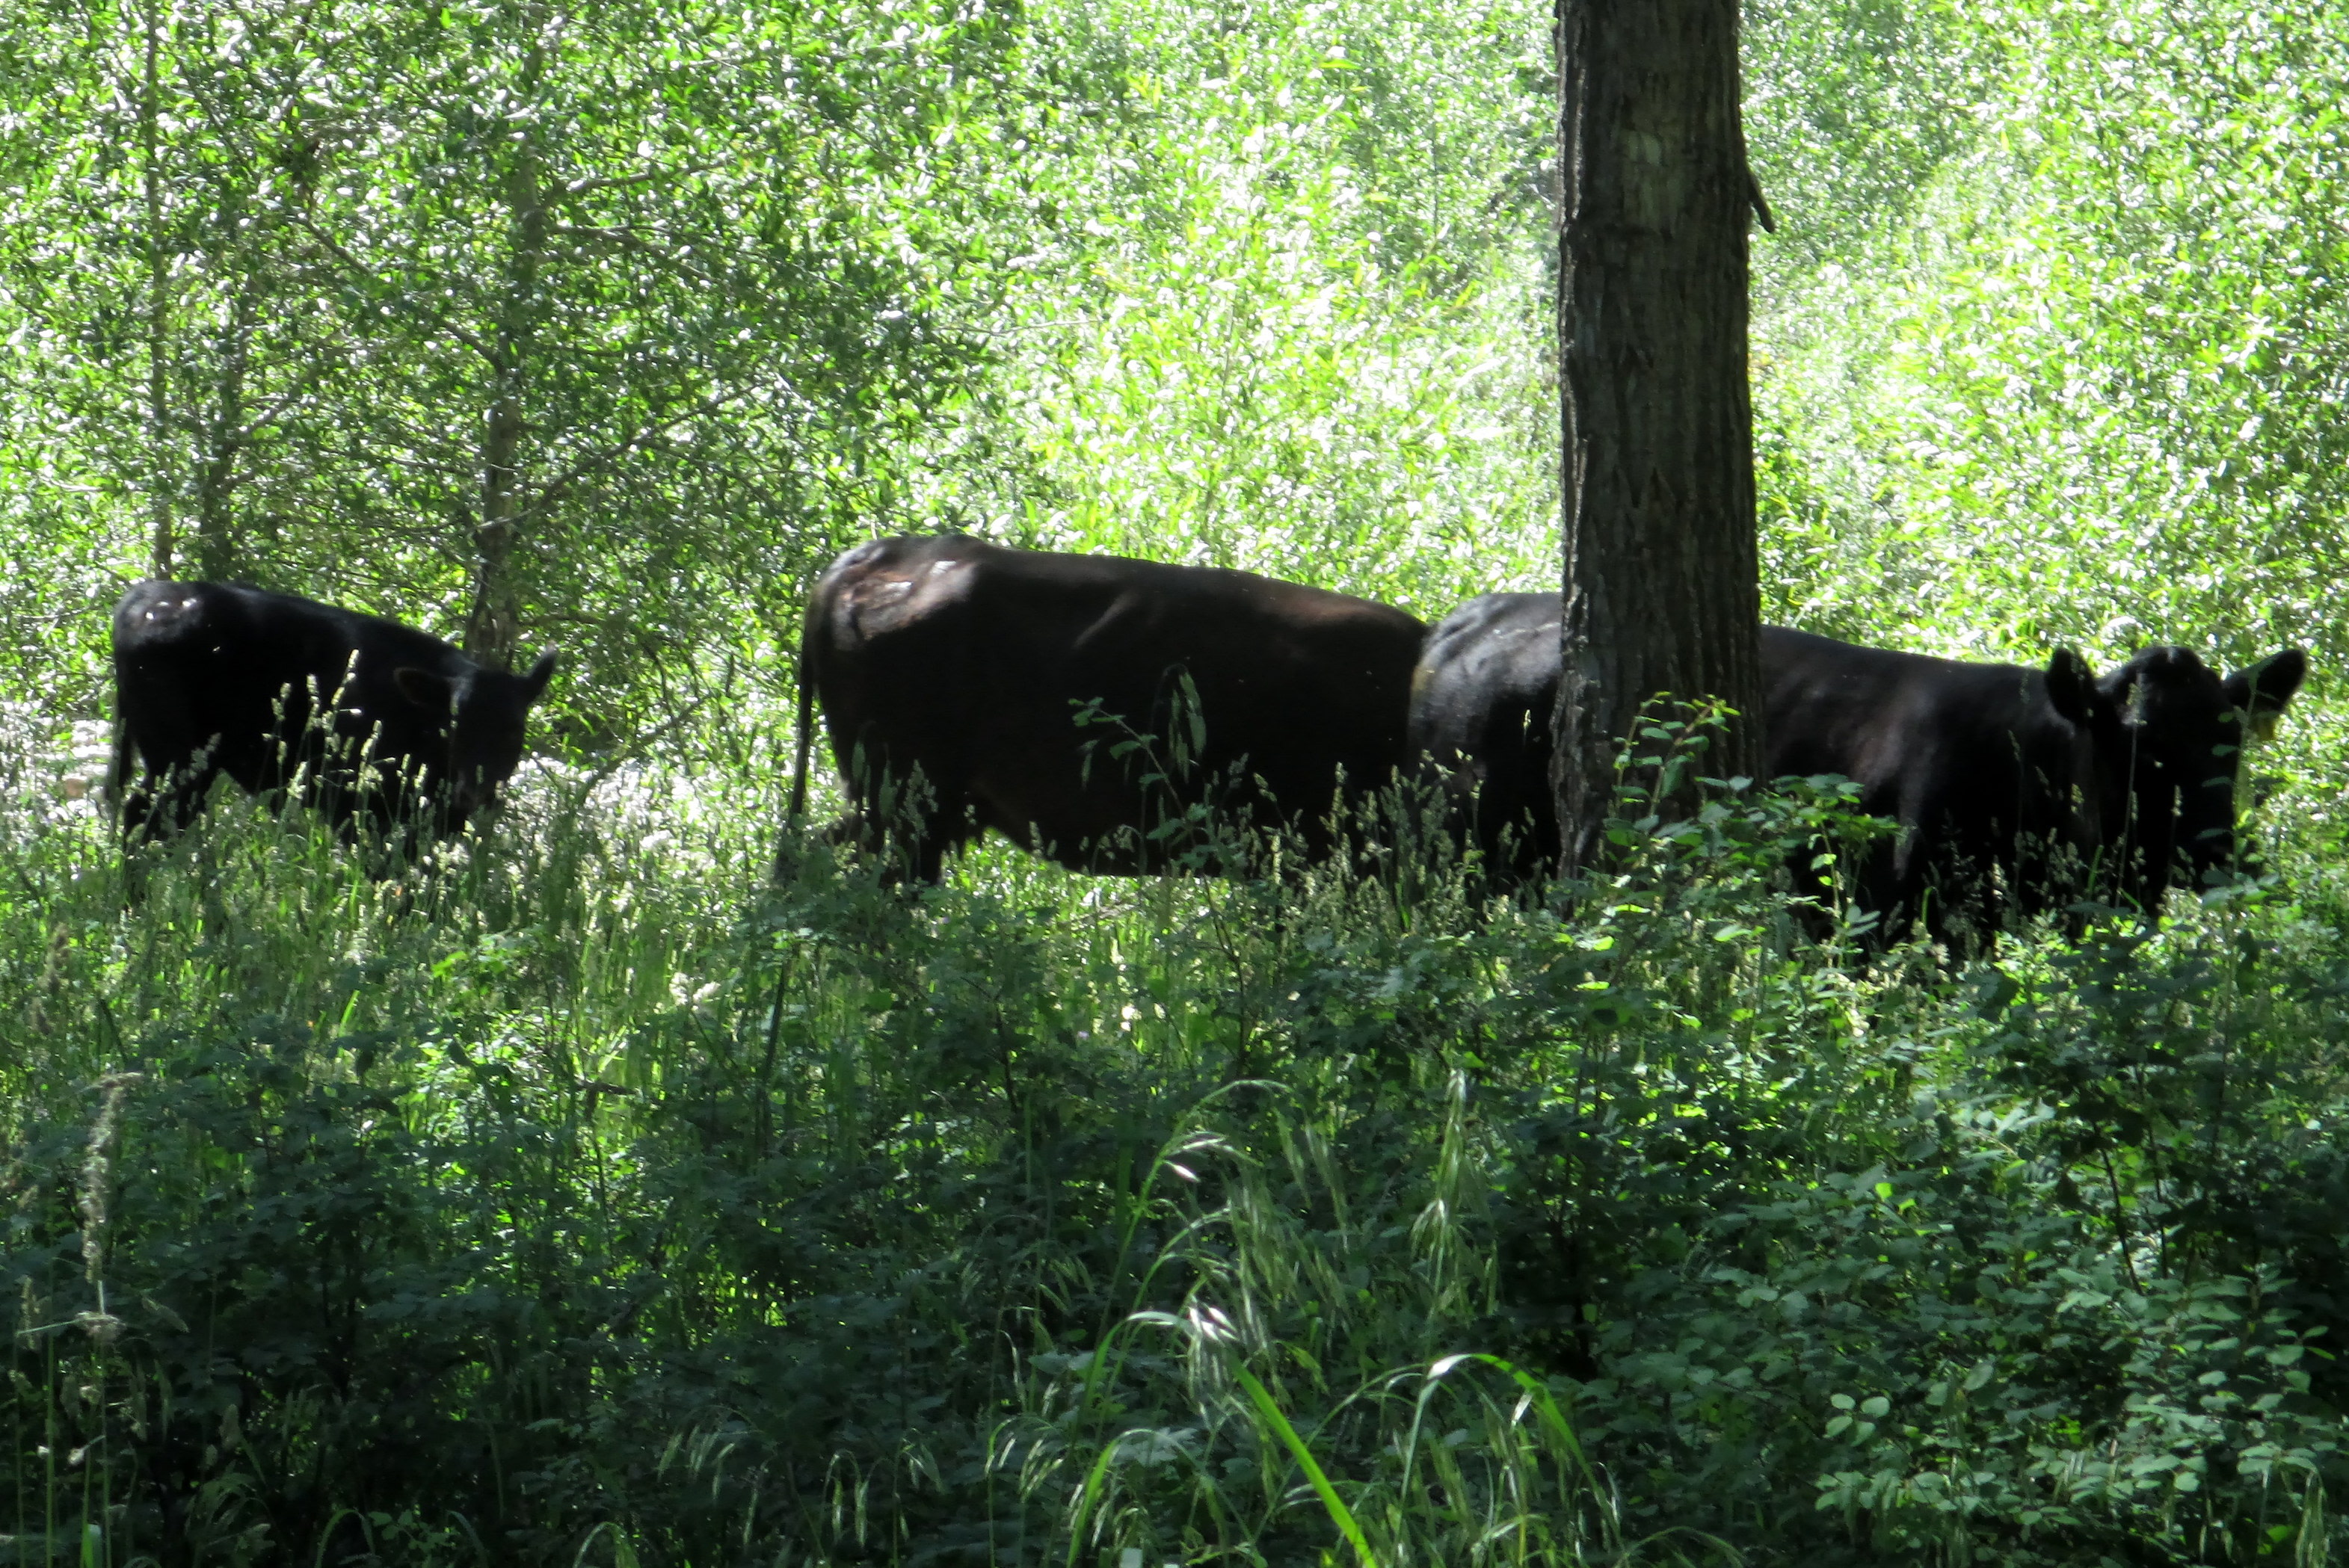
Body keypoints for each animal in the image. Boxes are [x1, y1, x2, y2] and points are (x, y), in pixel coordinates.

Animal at [110, 581, 559, 844]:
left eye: (514, 729)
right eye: (454, 723)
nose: (476, 791)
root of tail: (143, 597)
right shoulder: (356, 801)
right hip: (176, 753)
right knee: (147, 817)